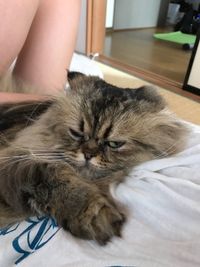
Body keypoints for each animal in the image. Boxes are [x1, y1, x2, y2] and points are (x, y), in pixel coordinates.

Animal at [0, 72, 188, 246]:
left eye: (114, 143)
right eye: (76, 133)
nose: (88, 155)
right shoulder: (19, 163)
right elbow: (55, 178)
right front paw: (93, 216)